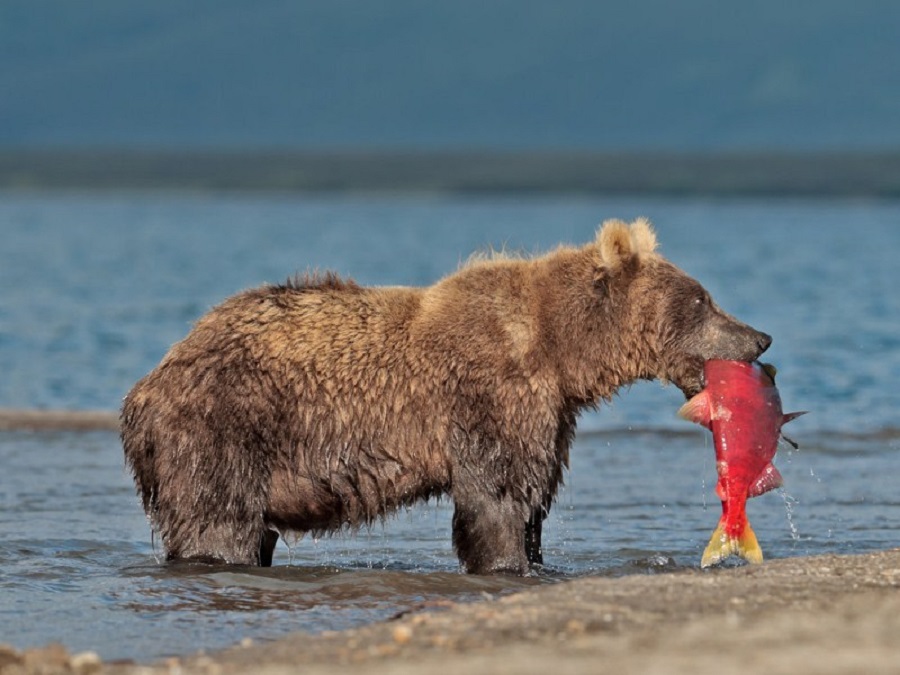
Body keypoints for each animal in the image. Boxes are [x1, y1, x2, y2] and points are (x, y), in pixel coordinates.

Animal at [119, 218, 768, 576]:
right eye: (702, 300)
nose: (759, 337)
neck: (562, 352)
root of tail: (148, 383)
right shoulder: (493, 397)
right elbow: (497, 499)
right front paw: (507, 563)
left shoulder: (550, 416)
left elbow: (533, 499)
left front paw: (536, 556)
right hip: (222, 428)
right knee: (219, 525)